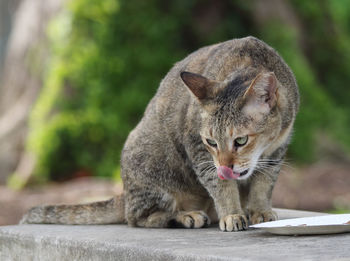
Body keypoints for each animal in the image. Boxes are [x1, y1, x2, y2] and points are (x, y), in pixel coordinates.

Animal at [20, 35, 298, 231]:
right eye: (211, 142)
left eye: (240, 140)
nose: (225, 166)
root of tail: (125, 191)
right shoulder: (197, 147)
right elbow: (221, 186)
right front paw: (231, 213)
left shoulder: (278, 148)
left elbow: (263, 183)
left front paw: (260, 210)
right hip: (150, 171)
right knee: (138, 217)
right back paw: (184, 216)